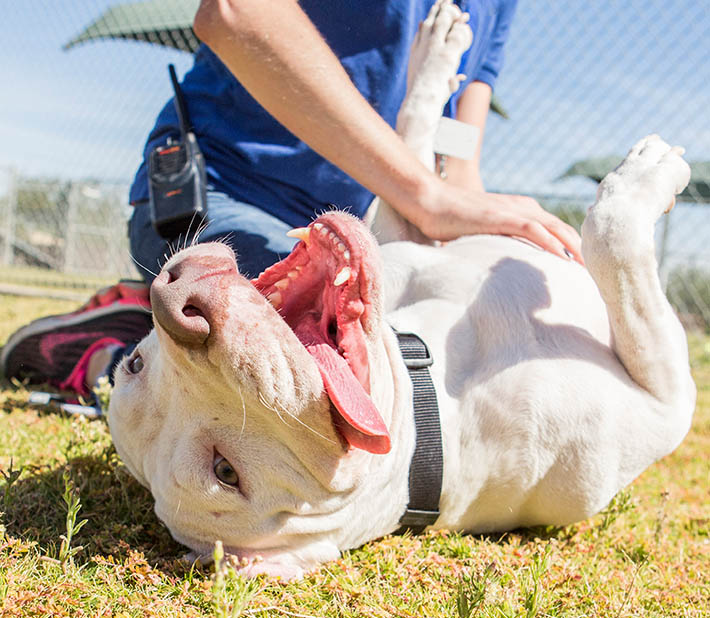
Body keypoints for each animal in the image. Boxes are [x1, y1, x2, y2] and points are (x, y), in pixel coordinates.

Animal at [108, 0, 700, 576]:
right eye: (225, 472)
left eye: (133, 364)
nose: (176, 303)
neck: (430, 382)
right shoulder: (665, 403)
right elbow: (612, 240)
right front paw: (645, 179)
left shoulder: (404, 233)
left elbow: (408, 148)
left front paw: (436, 50)